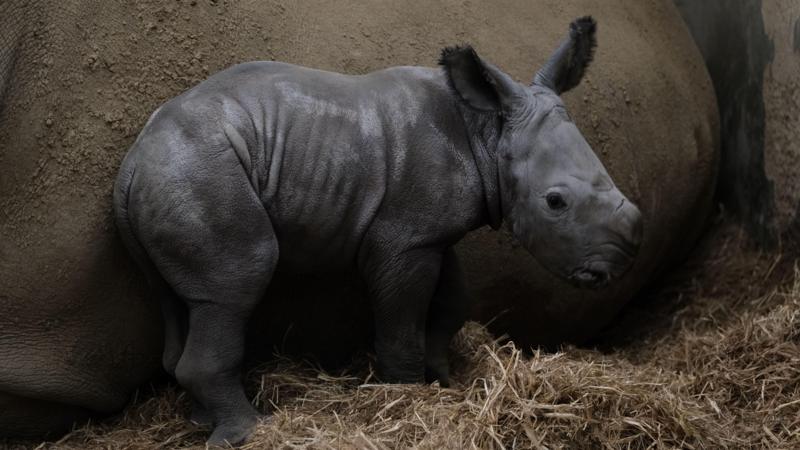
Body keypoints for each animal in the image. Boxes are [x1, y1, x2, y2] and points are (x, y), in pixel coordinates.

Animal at [113, 17, 642, 445]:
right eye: (555, 202)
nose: (615, 267)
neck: (487, 133)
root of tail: (131, 165)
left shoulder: (428, 232)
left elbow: (452, 302)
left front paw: (443, 380)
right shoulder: (402, 240)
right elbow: (402, 321)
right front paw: (408, 396)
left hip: (176, 177)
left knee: (184, 300)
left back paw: (204, 423)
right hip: (200, 172)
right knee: (236, 284)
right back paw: (251, 432)